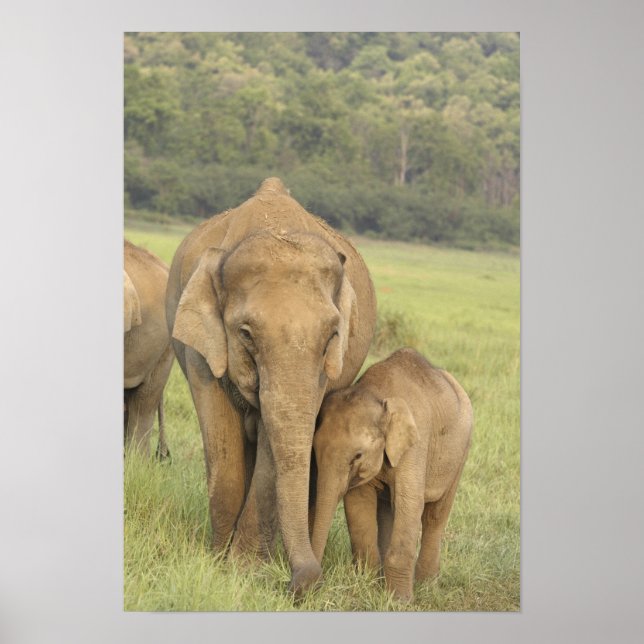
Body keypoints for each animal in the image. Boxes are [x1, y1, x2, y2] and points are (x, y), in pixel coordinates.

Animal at [165, 177, 377, 595]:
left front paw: (244, 570)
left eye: (331, 337)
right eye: (246, 334)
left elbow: (273, 452)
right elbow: (222, 440)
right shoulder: (201, 349)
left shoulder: (321, 373)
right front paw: (217, 562)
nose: (302, 582)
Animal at [311, 348, 472, 601]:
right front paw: (367, 584)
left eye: (357, 456)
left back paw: (426, 585)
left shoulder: (415, 444)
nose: (315, 587)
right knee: (387, 509)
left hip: (460, 452)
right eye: (314, 451)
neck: (376, 393)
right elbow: (359, 501)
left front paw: (399, 601)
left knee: (435, 515)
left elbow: (410, 502)